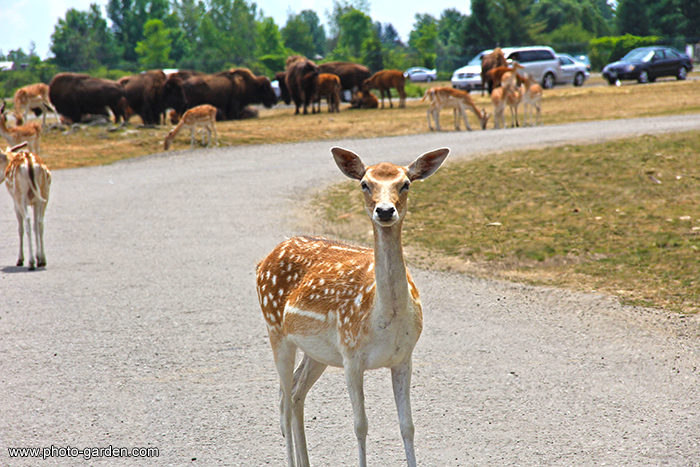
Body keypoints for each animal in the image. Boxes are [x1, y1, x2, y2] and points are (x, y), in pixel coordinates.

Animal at [0, 142, 51, 270]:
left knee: (27, 221)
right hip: (44, 193)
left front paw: (20, 259)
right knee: (40, 222)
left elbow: (20, 228)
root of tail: (30, 162)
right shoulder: (34, 201)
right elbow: (36, 225)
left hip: (20, 196)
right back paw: (42, 260)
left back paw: (30, 262)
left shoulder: (15, 202)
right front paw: (39, 258)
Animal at [256, 146, 448, 467]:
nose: (385, 211)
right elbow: (360, 425)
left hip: (316, 352)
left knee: (294, 393)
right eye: (364, 184)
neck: (383, 318)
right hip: (276, 330)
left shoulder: (403, 356)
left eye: (406, 184)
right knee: (283, 399)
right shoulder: (351, 355)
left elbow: (407, 425)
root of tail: (263, 261)